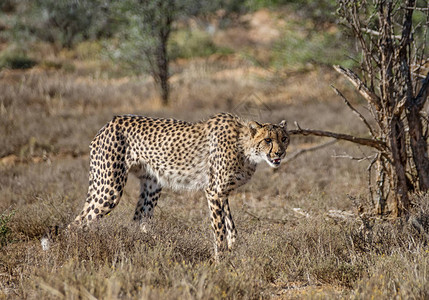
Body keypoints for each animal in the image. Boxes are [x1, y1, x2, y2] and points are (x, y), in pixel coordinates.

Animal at [67, 112, 288, 255]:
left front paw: (234, 249)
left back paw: (152, 248)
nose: (280, 153)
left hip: (152, 186)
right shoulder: (213, 191)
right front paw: (221, 260)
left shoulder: (221, 192)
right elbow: (219, 229)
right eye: (268, 140)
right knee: (76, 224)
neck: (245, 147)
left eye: (284, 138)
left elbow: (231, 225)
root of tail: (109, 124)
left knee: (138, 220)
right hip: (109, 189)